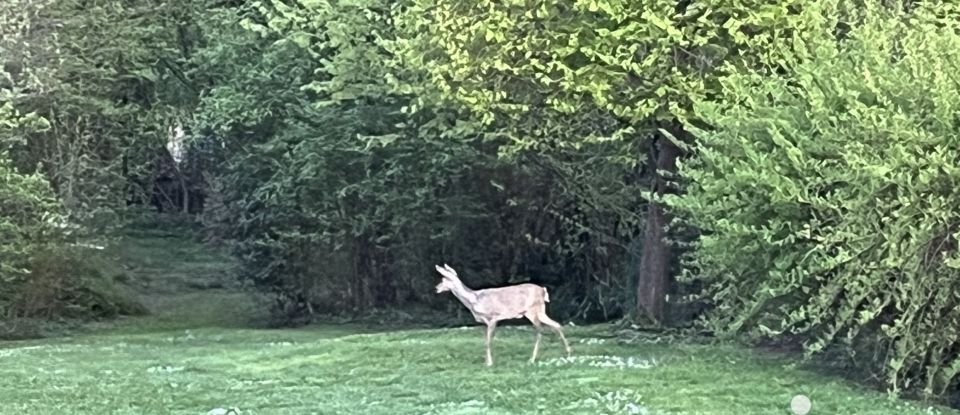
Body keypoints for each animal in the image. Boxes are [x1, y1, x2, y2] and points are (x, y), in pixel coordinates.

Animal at [434, 264, 568, 368]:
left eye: (444, 279)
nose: (436, 288)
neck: (474, 300)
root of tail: (543, 290)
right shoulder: (486, 322)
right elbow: (486, 341)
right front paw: (487, 362)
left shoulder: (493, 317)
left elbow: (488, 342)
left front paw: (489, 363)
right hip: (540, 311)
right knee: (556, 325)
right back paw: (567, 353)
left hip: (532, 310)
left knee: (540, 330)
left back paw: (532, 359)